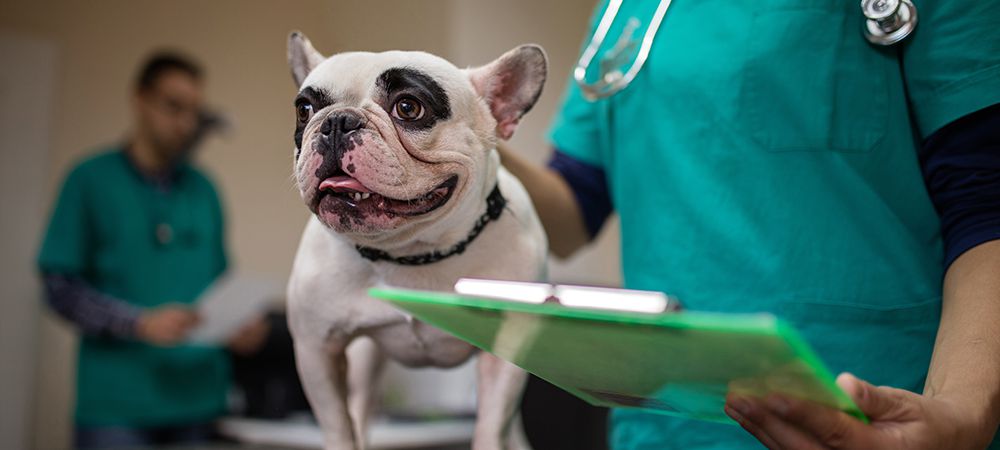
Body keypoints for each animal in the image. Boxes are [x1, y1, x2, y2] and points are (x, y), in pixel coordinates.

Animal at [282, 32, 548, 450]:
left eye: (408, 108)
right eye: (305, 109)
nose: (338, 121)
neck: (411, 252)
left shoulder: (506, 351)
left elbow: (492, 423)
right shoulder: (315, 349)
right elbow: (337, 424)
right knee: (359, 407)